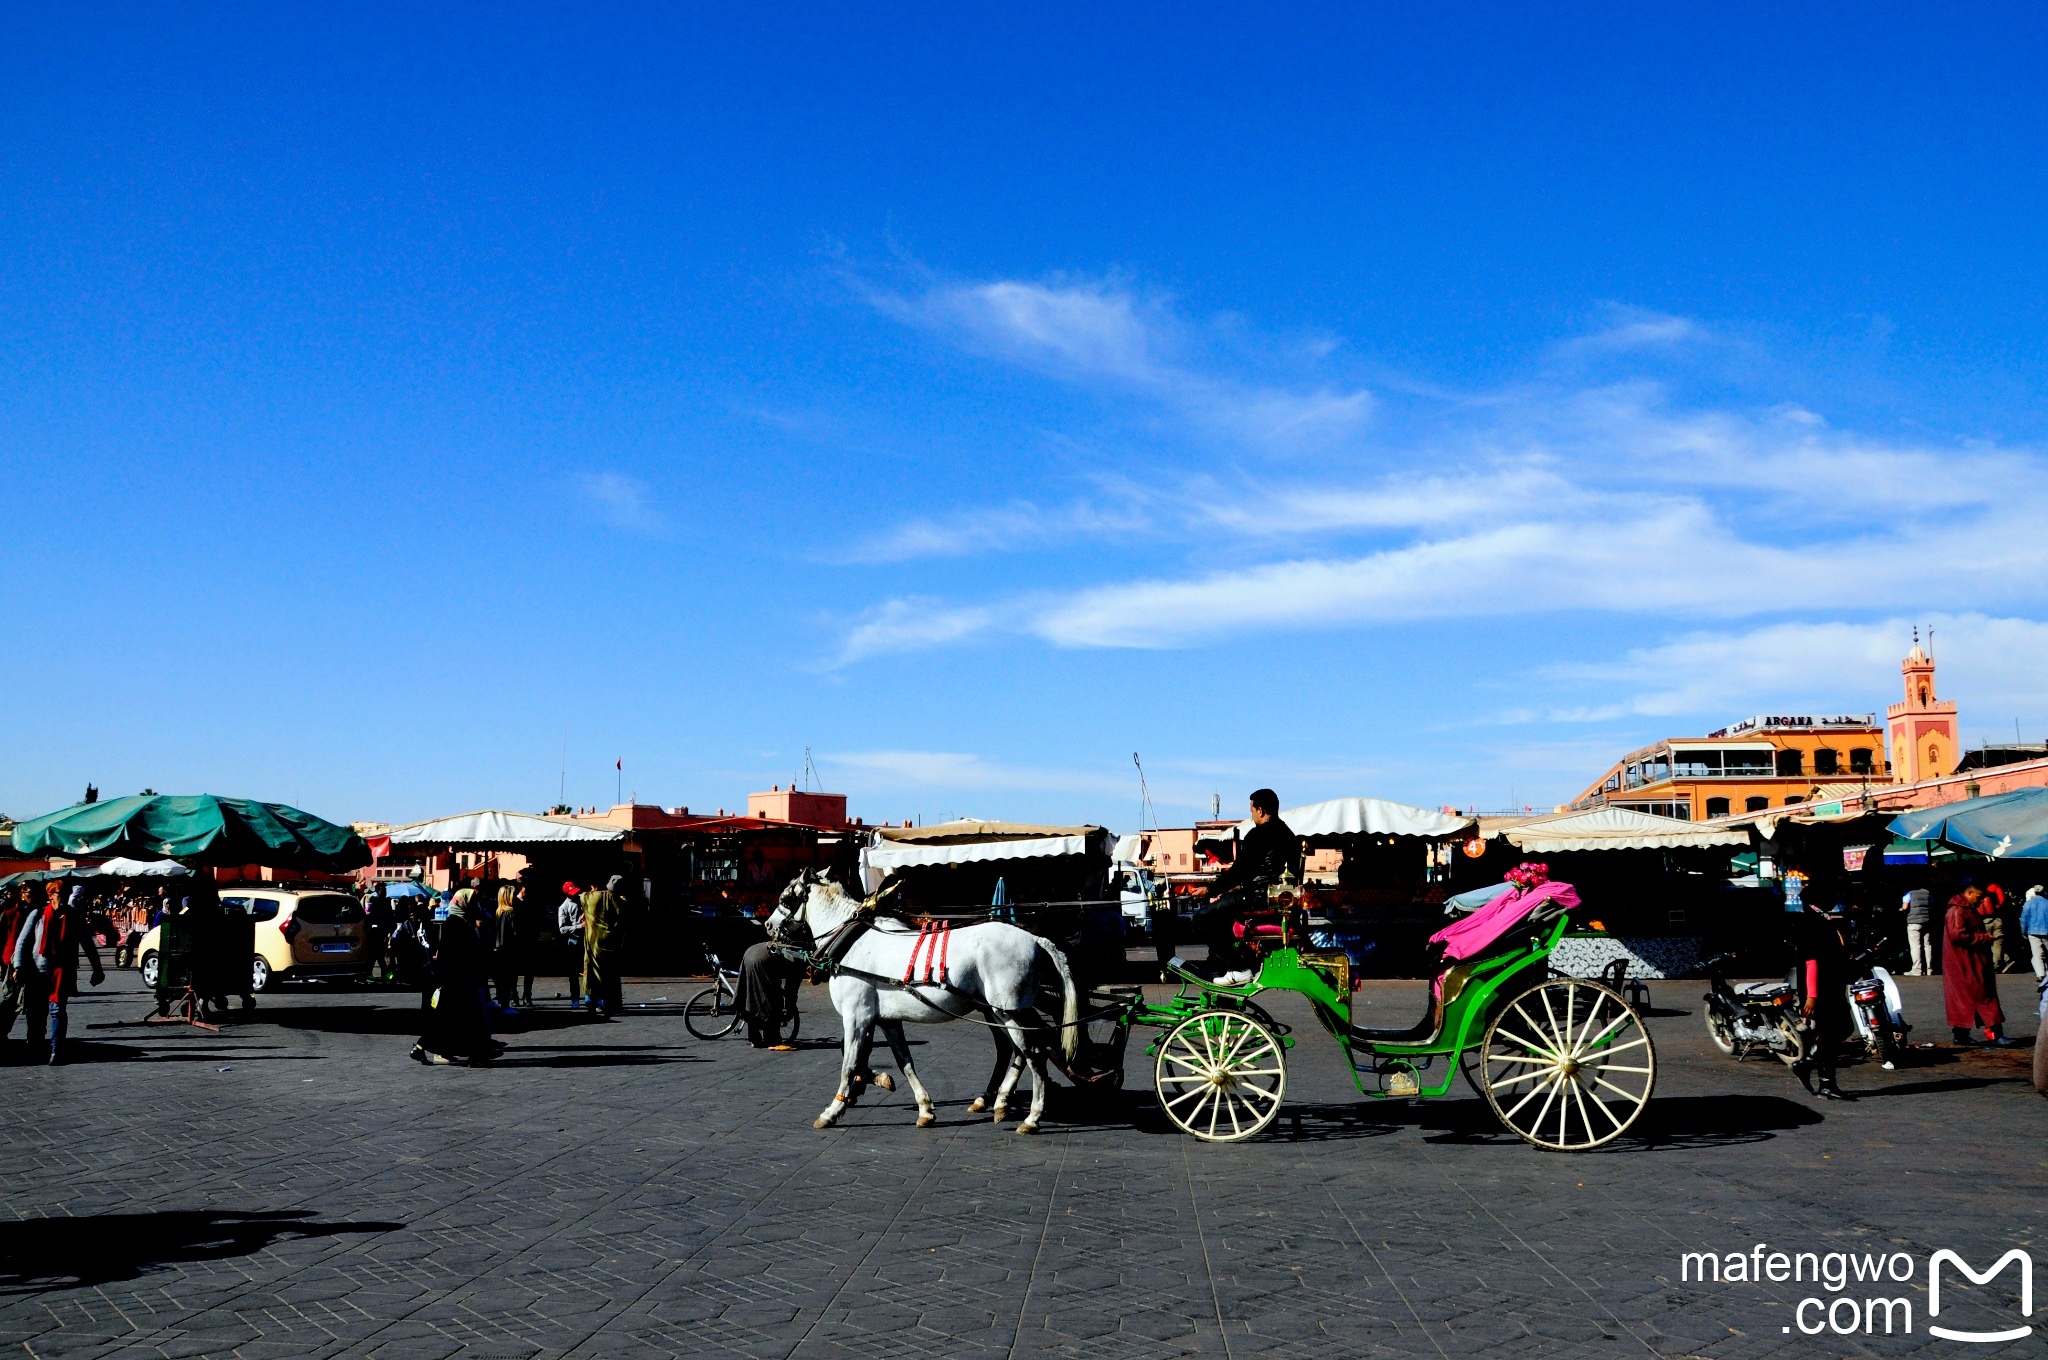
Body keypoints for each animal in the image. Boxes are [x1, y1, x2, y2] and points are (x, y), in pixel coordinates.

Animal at [770, 876, 1089, 1130]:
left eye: (786, 897)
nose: (769, 925)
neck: (852, 944)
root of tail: (1035, 939)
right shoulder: (885, 1019)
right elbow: (903, 1062)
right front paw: (922, 1107)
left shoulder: (856, 1016)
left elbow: (848, 1064)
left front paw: (833, 1110)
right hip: (1000, 1012)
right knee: (1013, 1050)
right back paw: (997, 1101)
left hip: (1008, 1011)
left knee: (1034, 1054)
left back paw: (1031, 1117)